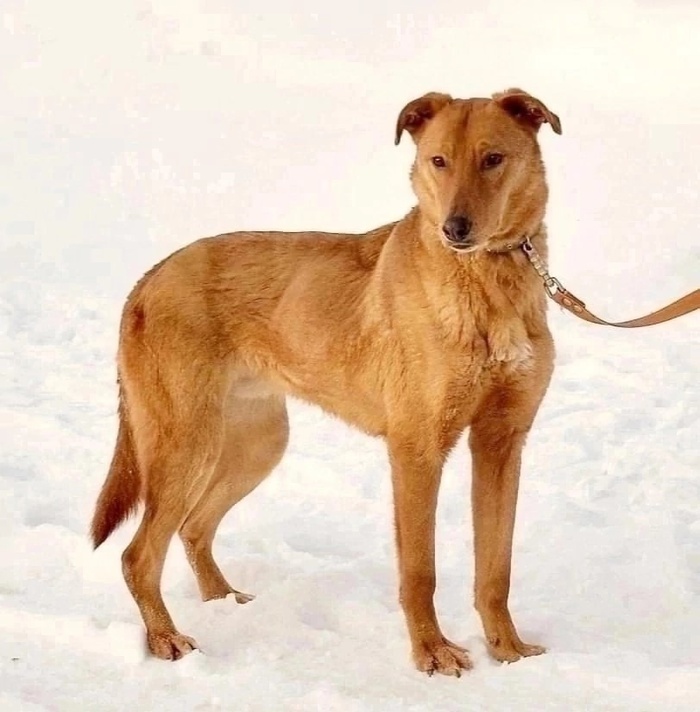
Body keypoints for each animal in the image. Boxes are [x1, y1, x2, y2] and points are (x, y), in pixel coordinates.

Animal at [91, 88, 561, 676]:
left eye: (493, 159)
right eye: (439, 161)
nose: (455, 229)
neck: (488, 281)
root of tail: (149, 277)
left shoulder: (501, 443)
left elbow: (496, 570)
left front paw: (508, 651)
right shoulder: (417, 451)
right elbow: (420, 572)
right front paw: (431, 654)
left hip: (257, 443)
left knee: (192, 527)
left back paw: (223, 601)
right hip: (186, 445)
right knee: (138, 555)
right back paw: (165, 639)